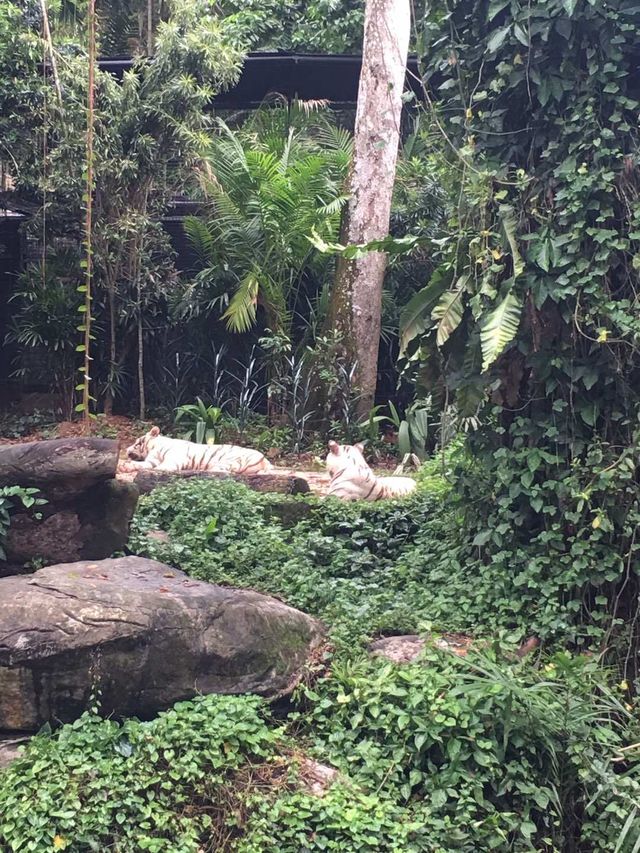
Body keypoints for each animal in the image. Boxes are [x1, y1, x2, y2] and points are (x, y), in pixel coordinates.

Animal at [124, 424, 272, 472]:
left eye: (137, 442)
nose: (126, 450)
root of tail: (265, 460)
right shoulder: (152, 460)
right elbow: (142, 464)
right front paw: (125, 467)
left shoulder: (175, 458)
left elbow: (163, 466)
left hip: (228, 460)